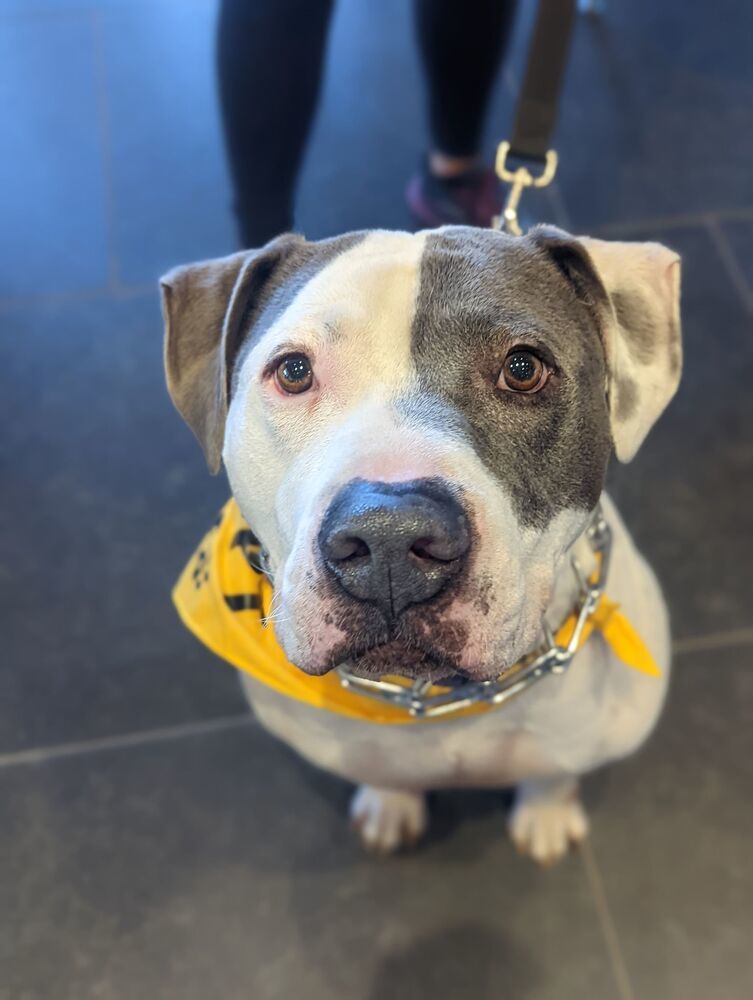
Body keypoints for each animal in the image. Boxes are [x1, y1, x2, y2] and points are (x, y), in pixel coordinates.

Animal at [162, 223, 680, 864]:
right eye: (293, 371)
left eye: (523, 367)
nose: (389, 538)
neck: (432, 702)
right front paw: (391, 804)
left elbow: (554, 773)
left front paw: (546, 815)